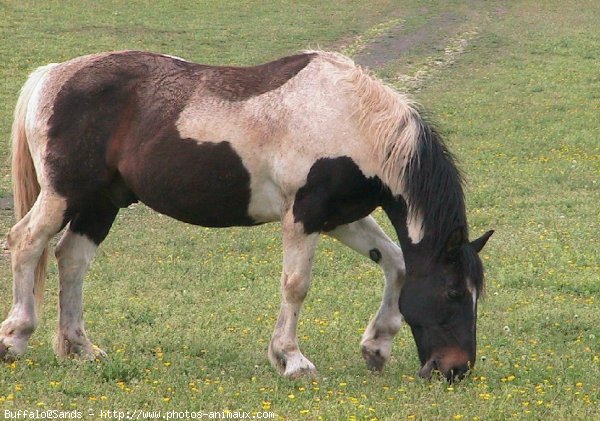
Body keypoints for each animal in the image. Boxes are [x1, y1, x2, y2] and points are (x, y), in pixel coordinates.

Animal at [0, 49, 492, 380]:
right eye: (452, 292)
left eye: (474, 294)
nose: (456, 369)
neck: (351, 119)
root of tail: (52, 74)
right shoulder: (304, 216)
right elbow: (296, 286)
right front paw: (291, 359)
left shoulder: (341, 218)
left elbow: (396, 263)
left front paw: (376, 347)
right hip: (64, 195)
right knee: (26, 242)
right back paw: (15, 338)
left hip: (100, 203)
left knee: (71, 258)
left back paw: (81, 348)